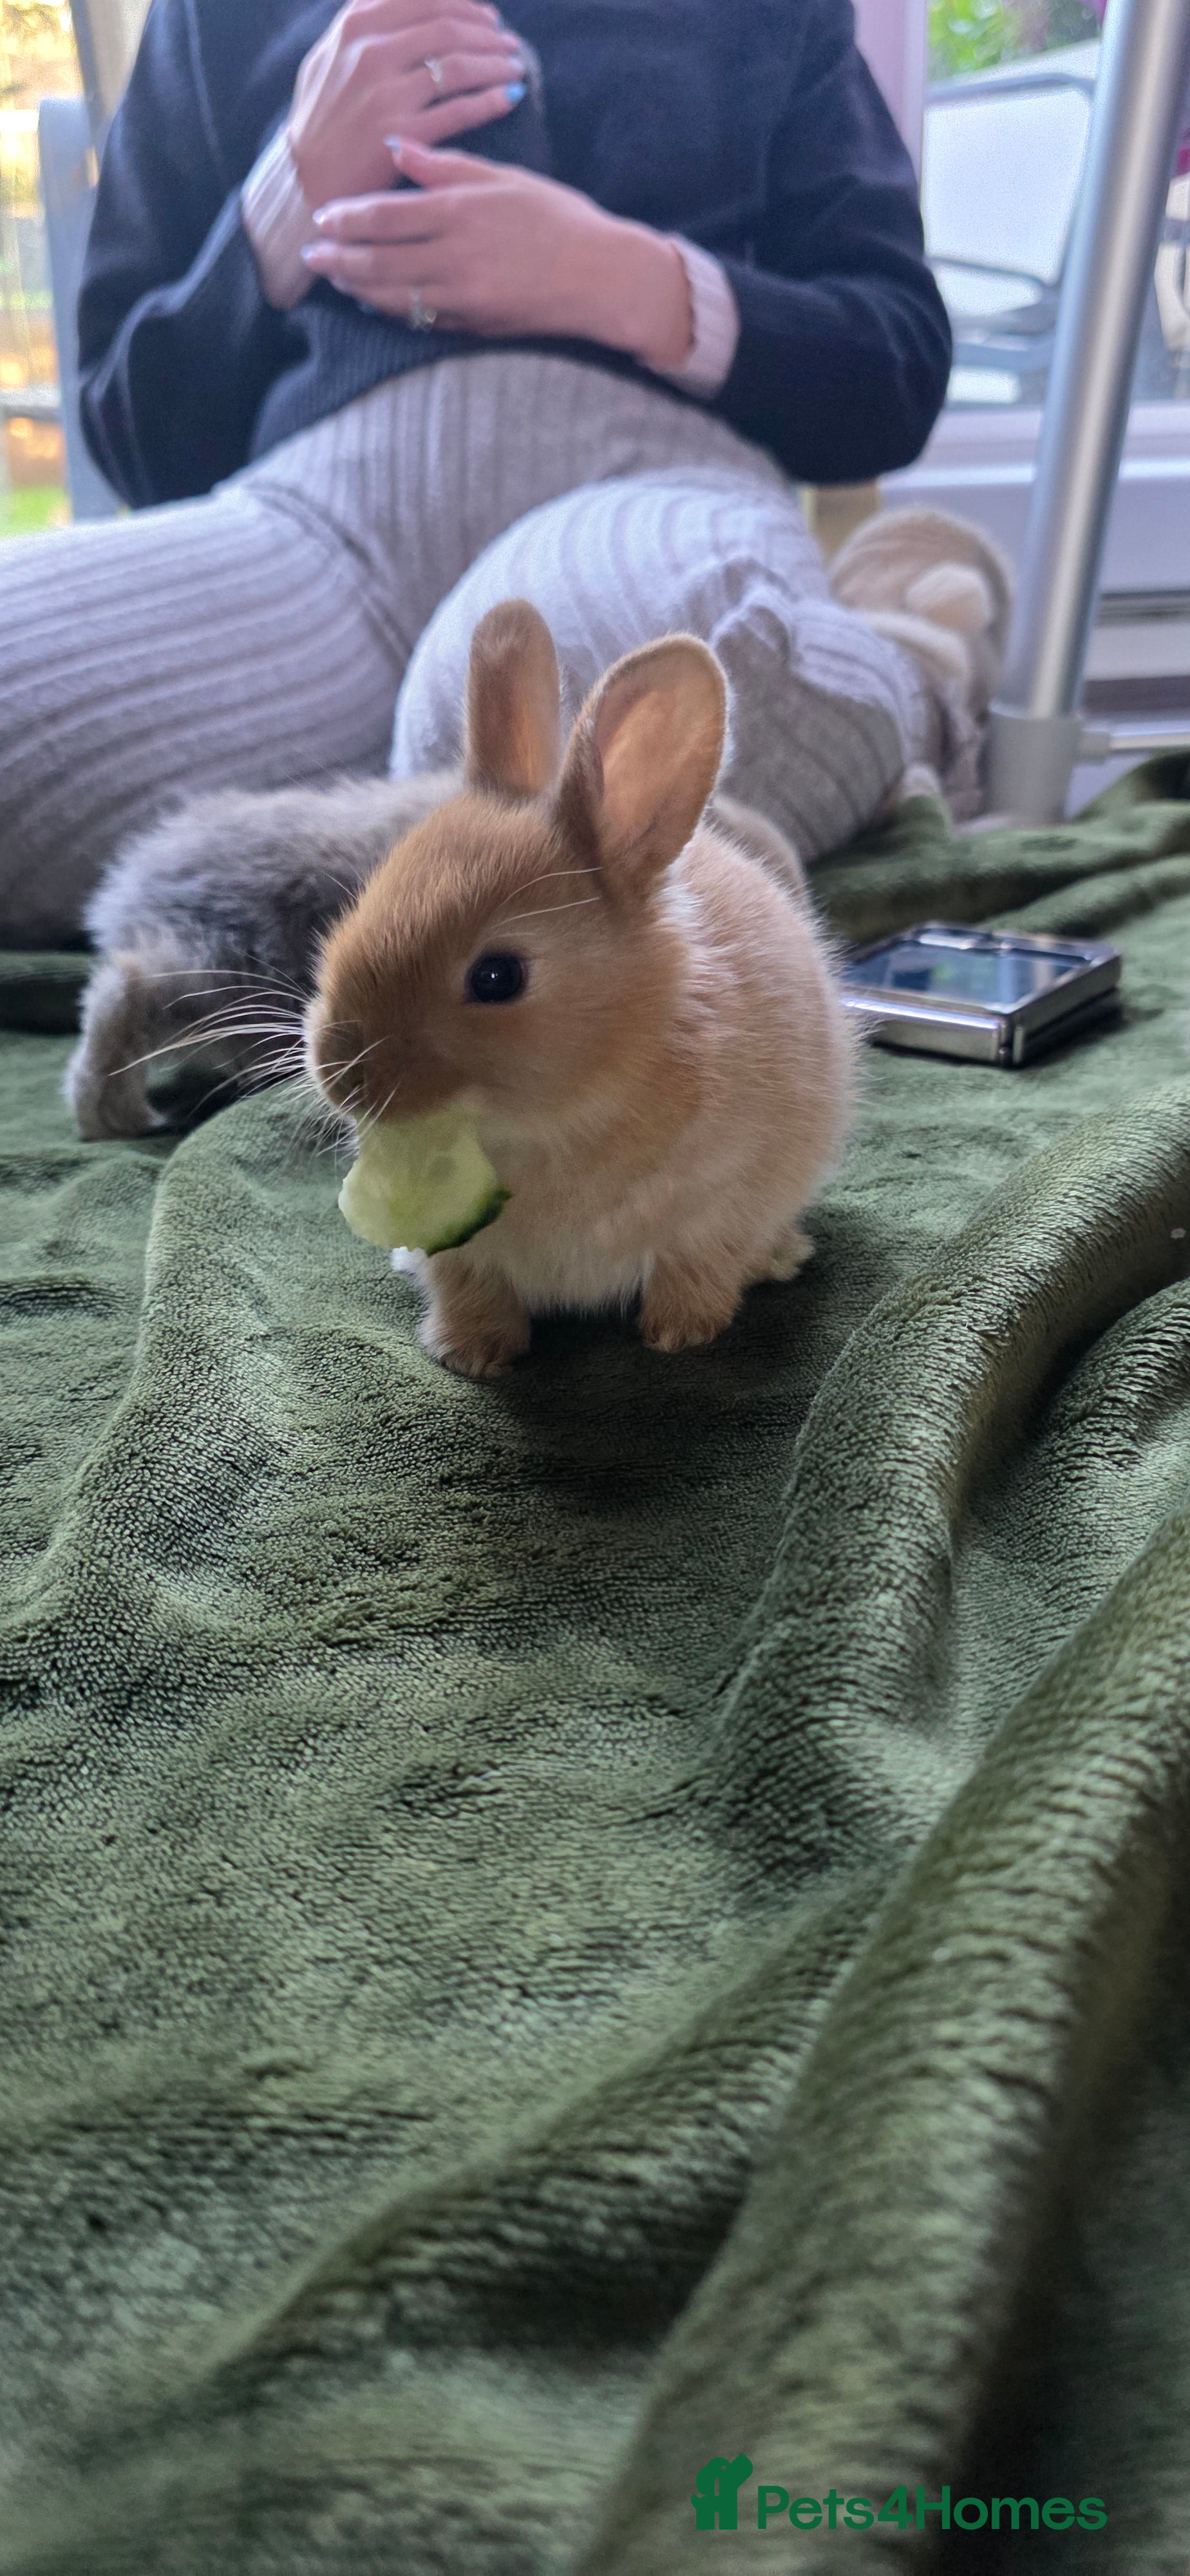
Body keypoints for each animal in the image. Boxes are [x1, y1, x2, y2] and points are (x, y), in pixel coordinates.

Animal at [304, 599, 859, 1375]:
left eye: (498, 976)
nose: (339, 1073)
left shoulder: (720, 1206)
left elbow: (698, 1268)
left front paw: (681, 1334)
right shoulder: (463, 1258)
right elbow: (468, 1287)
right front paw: (472, 1354)